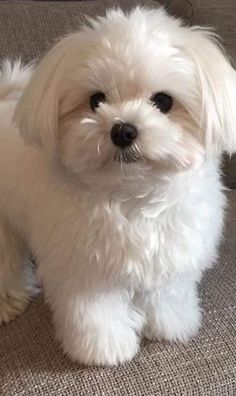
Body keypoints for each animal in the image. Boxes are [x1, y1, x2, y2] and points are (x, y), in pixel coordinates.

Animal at [0, 6, 236, 366]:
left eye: (163, 101)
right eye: (96, 100)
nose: (123, 130)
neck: (132, 195)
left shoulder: (170, 254)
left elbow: (167, 294)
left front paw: (171, 325)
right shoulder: (84, 272)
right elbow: (97, 315)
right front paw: (105, 350)